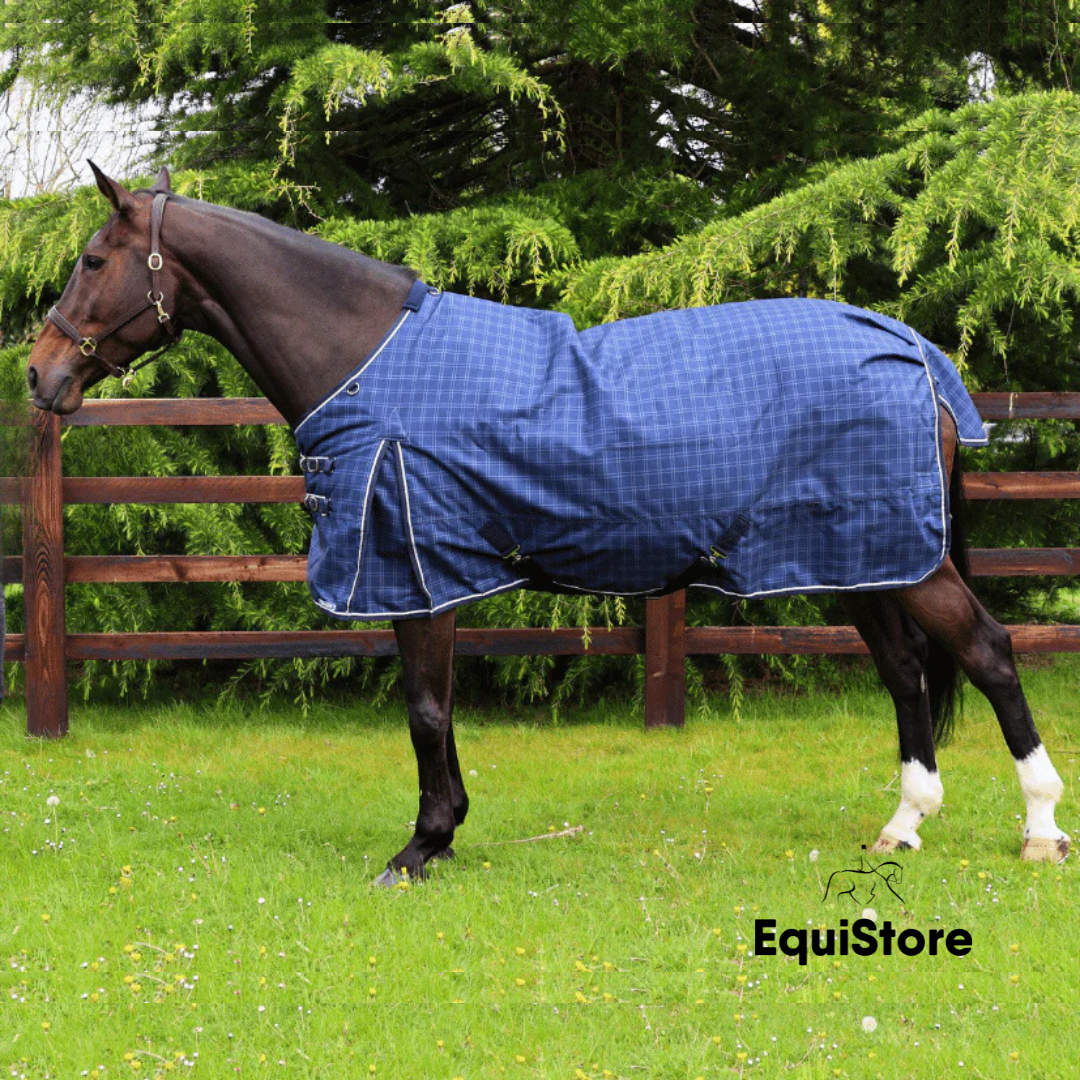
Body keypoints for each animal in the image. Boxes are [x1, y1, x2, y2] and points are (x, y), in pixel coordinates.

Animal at [26, 164, 1070, 884]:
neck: (368, 362)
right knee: (906, 670)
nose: (39, 374)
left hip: (901, 561)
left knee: (987, 652)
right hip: (859, 557)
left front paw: (420, 847)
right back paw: (903, 825)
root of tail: (913, 350)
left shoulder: (415, 569)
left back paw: (1041, 829)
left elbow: (425, 708)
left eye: (91, 261)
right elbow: (436, 709)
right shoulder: (429, 573)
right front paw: (443, 834)